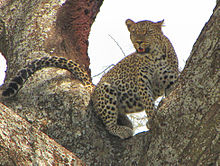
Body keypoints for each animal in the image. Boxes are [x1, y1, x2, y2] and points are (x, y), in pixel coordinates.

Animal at [1, 18, 179, 139]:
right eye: (134, 32)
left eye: (148, 32)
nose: (139, 42)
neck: (154, 56)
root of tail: (94, 88)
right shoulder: (142, 82)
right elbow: (148, 102)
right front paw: (152, 119)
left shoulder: (171, 79)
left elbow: (170, 93)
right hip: (107, 90)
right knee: (108, 123)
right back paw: (123, 129)